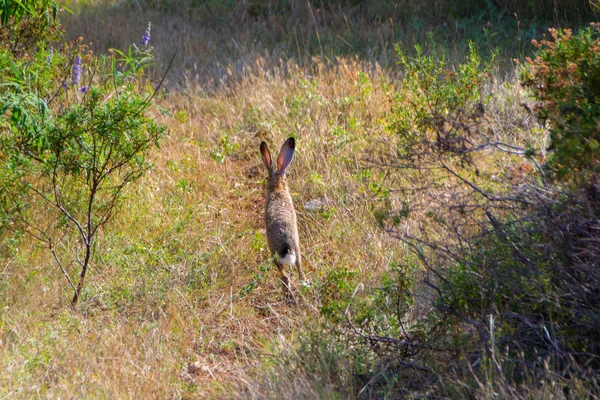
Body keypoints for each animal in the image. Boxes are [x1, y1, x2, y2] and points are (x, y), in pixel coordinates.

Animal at [258, 138, 304, 294]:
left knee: (284, 276)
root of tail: (287, 246)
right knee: (301, 272)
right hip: (297, 248)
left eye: (266, 177)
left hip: (274, 253)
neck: (277, 187)